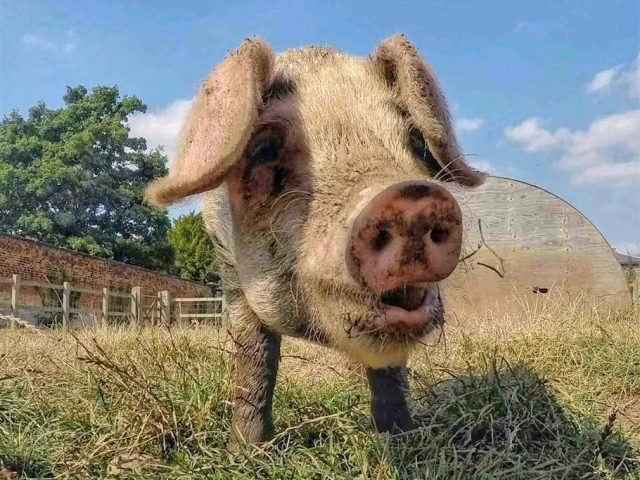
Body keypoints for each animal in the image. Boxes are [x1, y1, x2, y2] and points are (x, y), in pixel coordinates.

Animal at [145, 34, 484, 444]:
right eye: (263, 149)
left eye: (417, 141)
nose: (408, 197)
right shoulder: (229, 269)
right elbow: (255, 354)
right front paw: (246, 448)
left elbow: (390, 369)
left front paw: (400, 439)